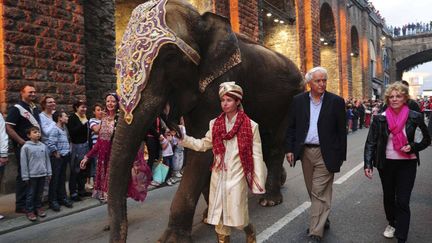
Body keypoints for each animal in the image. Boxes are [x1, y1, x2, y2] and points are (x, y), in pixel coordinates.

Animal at [108, 0, 304, 242]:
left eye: (170, 57)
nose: (171, 126)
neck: (201, 19)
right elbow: (203, 146)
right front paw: (210, 218)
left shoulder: (223, 80)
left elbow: (203, 152)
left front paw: (173, 239)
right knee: (266, 144)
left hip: (291, 100)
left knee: (276, 145)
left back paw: (269, 201)